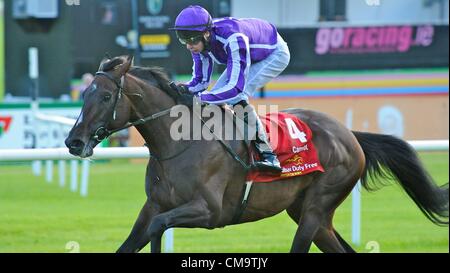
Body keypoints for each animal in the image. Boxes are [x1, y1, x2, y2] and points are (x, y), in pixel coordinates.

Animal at [65, 55, 448, 253]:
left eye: (104, 97)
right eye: (84, 94)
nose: (73, 142)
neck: (178, 145)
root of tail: (349, 135)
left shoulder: (209, 211)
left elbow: (160, 228)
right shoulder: (154, 206)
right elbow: (134, 240)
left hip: (316, 207)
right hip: (310, 213)